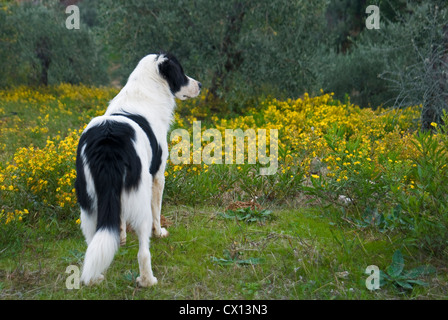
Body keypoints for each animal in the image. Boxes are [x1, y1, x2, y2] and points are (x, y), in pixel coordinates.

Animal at [75, 53, 201, 286]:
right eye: (181, 72)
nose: (200, 85)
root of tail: (108, 144)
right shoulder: (157, 176)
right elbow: (157, 211)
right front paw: (160, 232)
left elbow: (119, 219)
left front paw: (121, 238)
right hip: (139, 197)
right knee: (143, 251)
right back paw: (147, 280)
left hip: (87, 203)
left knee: (92, 247)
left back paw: (95, 278)